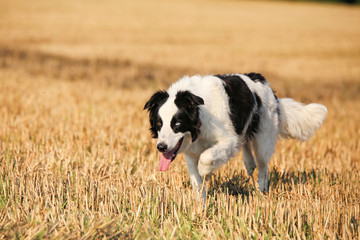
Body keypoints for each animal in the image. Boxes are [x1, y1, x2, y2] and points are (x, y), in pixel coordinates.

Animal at [143, 73, 326, 197]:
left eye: (177, 124)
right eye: (159, 124)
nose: (161, 147)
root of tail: (264, 83)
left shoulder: (229, 139)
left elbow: (206, 157)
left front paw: (205, 170)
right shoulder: (190, 151)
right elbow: (196, 180)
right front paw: (200, 205)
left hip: (263, 137)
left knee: (263, 165)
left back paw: (262, 190)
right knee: (247, 146)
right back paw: (249, 164)